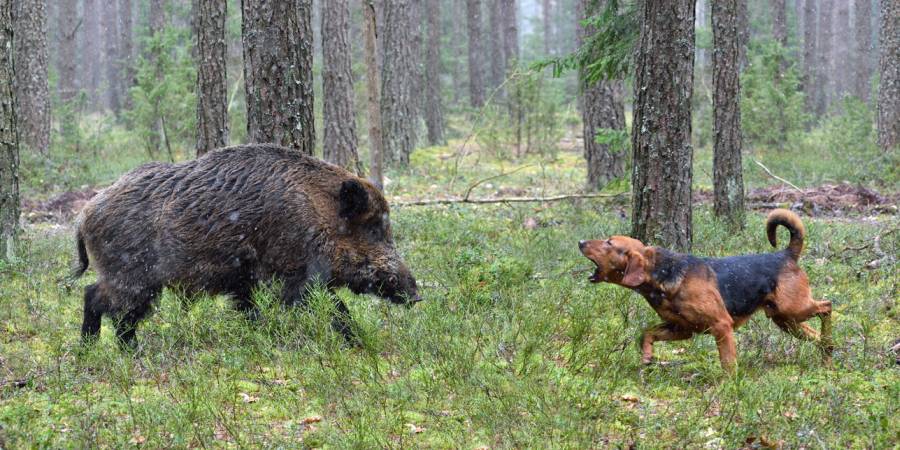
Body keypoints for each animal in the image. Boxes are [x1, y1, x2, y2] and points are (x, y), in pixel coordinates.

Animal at [580, 209, 832, 370]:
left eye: (609, 243)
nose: (580, 242)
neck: (663, 275)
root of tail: (786, 254)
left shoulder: (721, 326)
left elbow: (728, 364)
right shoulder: (682, 329)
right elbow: (647, 333)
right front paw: (647, 357)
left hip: (793, 309)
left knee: (827, 306)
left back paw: (829, 345)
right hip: (786, 320)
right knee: (816, 333)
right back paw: (827, 355)